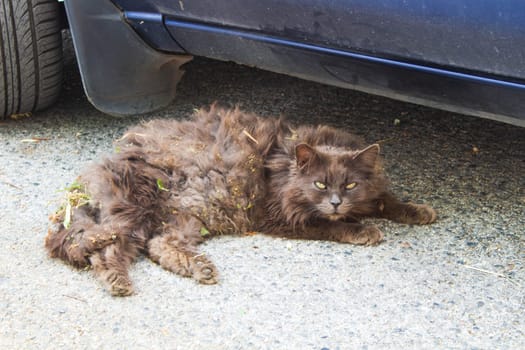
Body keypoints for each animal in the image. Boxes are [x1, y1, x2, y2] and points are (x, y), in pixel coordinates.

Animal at [46, 104, 434, 296]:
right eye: (320, 185)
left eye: (351, 185)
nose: (337, 202)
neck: (282, 164)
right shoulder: (278, 216)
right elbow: (327, 225)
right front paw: (362, 229)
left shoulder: (371, 192)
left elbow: (387, 200)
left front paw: (418, 210)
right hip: (135, 210)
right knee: (107, 251)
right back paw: (120, 283)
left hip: (186, 218)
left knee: (158, 245)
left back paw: (199, 268)